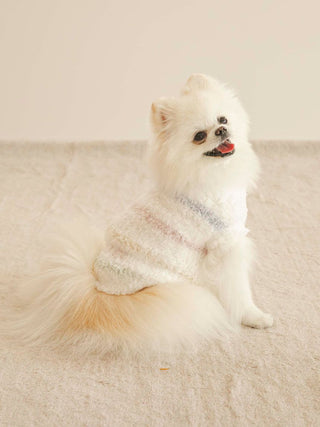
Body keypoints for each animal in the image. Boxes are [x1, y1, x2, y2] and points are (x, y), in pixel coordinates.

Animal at [8, 74, 272, 354]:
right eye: (199, 136)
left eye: (223, 119)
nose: (221, 131)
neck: (210, 174)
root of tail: (99, 292)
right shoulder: (226, 244)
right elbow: (239, 290)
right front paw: (254, 317)